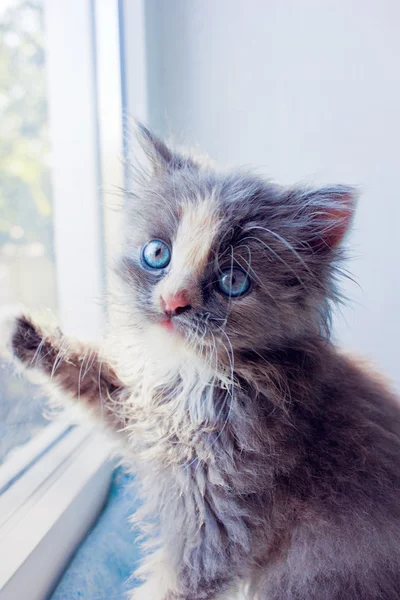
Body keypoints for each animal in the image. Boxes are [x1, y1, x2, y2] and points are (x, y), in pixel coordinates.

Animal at [0, 124, 400, 596]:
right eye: (157, 253)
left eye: (233, 281)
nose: (172, 302)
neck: (196, 379)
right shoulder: (138, 411)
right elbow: (94, 380)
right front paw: (24, 332)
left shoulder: (217, 522)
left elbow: (171, 586)